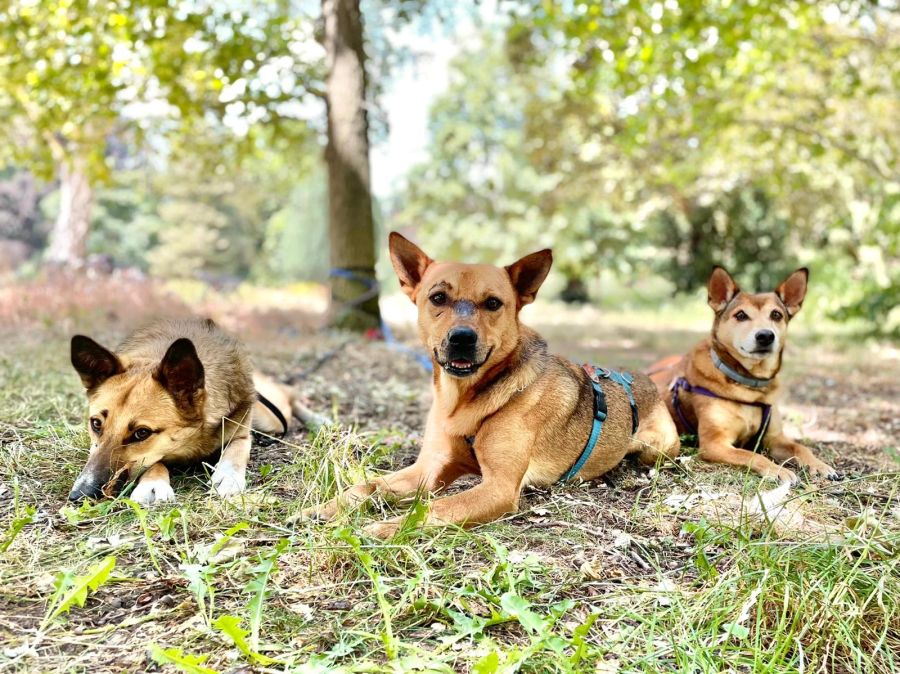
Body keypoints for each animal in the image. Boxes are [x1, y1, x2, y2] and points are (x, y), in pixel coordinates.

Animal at [67, 318, 326, 502]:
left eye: (142, 433)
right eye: (96, 424)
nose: (79, 495)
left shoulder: (241, 432)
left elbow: (236, 450)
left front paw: (229, 476)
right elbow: (153, 461)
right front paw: (153, 483)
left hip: (270, 416)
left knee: (288, 394)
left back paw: (319, 420)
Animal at [306, 231, 680, 536]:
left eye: (493, 303)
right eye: (438, 298)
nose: (461, 338)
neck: (464, 401)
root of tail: (642, 378)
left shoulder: (498, 487)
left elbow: (435, 508)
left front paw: (383, 528)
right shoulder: (427, 470)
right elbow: (367, 486)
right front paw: (325, 508)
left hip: (656, 449)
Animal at [648, 264, 836, 484]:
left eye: (776, 315)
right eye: (740, 315)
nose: (765, 336)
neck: (750, 385)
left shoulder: (774, 438)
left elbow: (801, 447)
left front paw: (820, 465)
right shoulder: (714, 444)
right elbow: (751, 455)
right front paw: (778, 470)